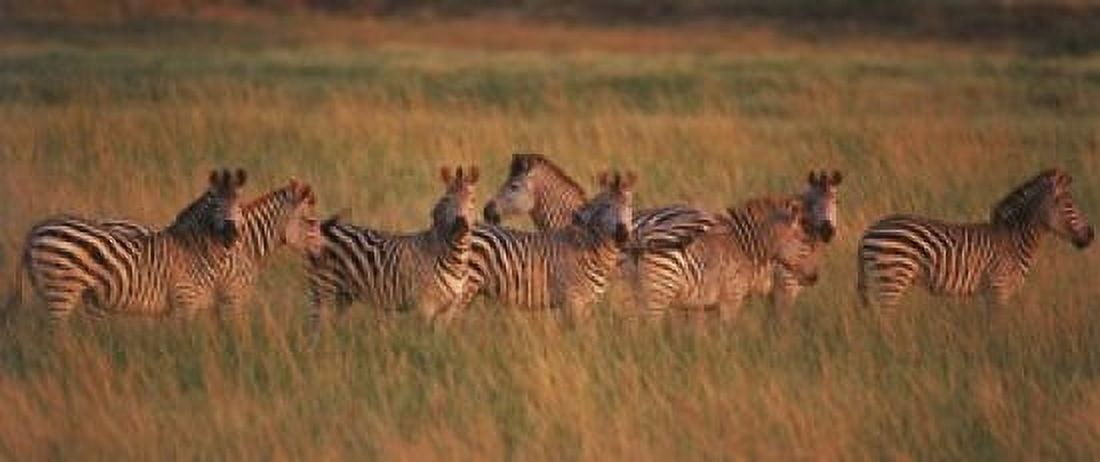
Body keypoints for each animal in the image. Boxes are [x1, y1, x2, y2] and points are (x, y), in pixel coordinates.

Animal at [16, 168, 248, 325]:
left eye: (239, 205)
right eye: (215, 205)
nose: (231, 233)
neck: (192, 249)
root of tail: (35, 230)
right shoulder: (184, 299)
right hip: (61, 288)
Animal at [307, 165, 479, 332]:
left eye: (472, 200)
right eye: (448, 200)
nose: (461, 225)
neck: (456, 258)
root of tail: (324, 228)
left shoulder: (450, 308)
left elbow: (440, 337)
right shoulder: (425, 305)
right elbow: (424, 337)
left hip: (342, 296)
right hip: (323, 291)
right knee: (314, 330)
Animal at [462, 170, 636, 324]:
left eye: (629, 206)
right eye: (607, 206)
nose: (623, 234)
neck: (590, 249)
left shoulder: (586, 305)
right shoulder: (573, 302)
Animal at [627, 196, 819, 321]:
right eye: (806, 242)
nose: (814, 277)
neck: (744, 247)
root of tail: (640, 237)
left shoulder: (704, 304)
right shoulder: (732, 297)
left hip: (641, 291)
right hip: (658, 293)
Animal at [857, 168, 1094, 312]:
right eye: (1069, 205)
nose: (1091, 236)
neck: (1015, 241)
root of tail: (868, 230)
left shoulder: (990, 293)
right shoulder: (1000, 288)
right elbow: (997, 329)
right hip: (893, 277)